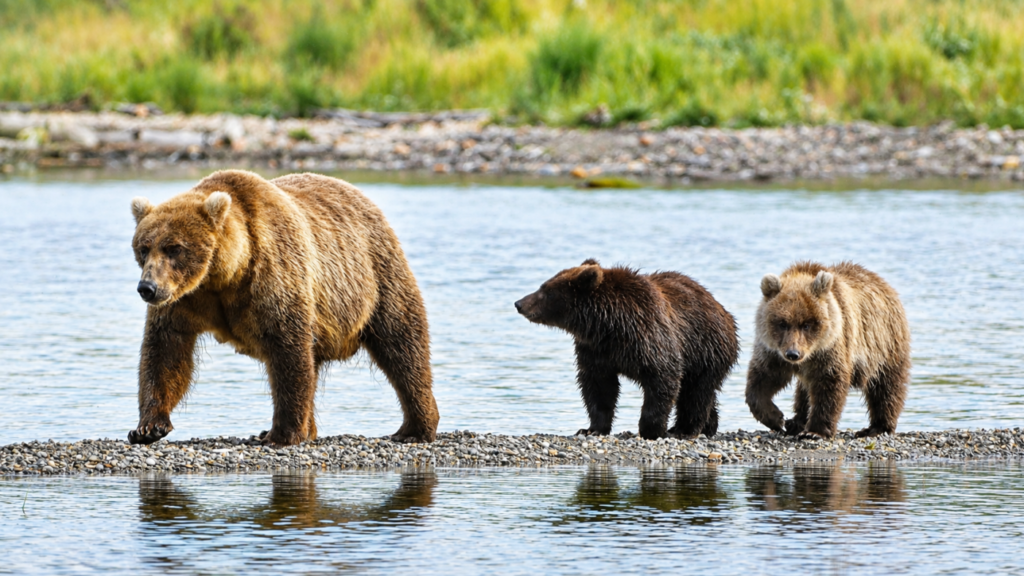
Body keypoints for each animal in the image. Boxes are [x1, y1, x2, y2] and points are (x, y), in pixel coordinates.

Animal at [128, 170, 439, 447]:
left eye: (174, 248)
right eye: (143, 247)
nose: (147, 288)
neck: (225, 275)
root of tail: (360, 195)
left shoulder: (273, 275)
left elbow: (288, 351)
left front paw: (282, 434)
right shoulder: (183, 301)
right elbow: (166, 352)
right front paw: (147, 428)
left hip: (375, 275)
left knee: (401, 344)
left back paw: (414, 428)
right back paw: (307, 429)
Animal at [515, 259, 739, 440]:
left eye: (547, 291)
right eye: (543, 286)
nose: (519, 303)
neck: (607, 324)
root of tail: (721, 309)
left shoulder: (649, 337)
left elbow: (662, 377)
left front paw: (651, 430)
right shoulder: (595, 350)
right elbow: (598, 387)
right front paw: (591, 429)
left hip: (705, 348)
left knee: (697, 391)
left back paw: (685, 430)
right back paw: (707, 426)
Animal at [745, 261, 911, 439]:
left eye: (807, 324)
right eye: (782, 323)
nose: (793, 354)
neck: (810, 354)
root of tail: (883, 283)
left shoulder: (831, 347)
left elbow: (829, 383)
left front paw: (814, 431)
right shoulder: (773, 351)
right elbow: (763, 379)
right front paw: (776, 419)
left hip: (884, 343)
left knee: (886, 386)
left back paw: (877, 427)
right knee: (803, 390)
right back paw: (796, 422)